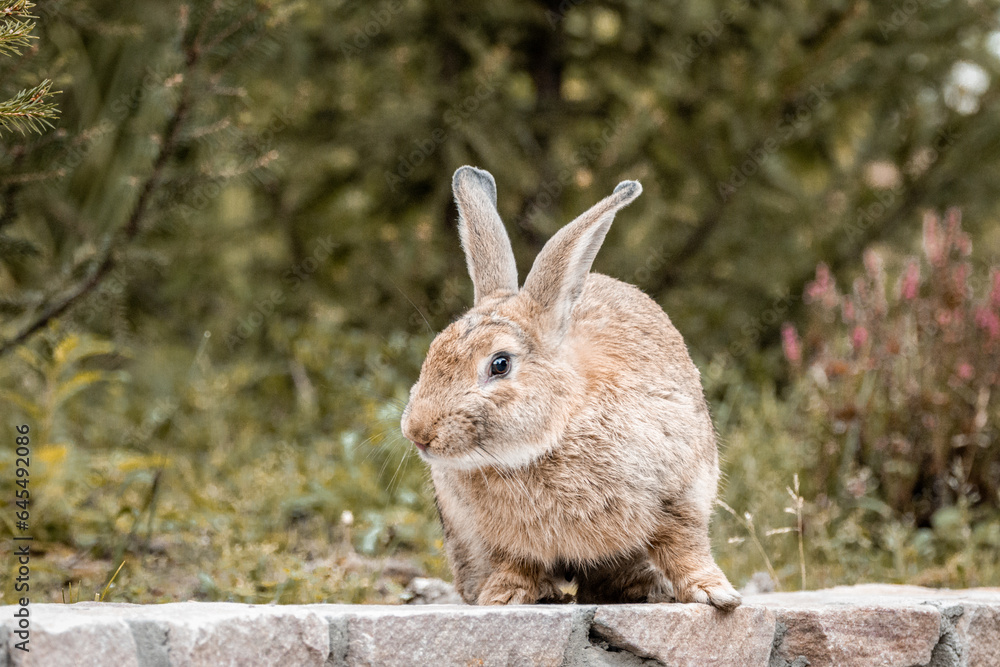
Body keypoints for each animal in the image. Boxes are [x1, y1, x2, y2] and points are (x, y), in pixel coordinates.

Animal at [400, 165, 741, 610]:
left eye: (499, 364)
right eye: (434, 350)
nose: (418, 433)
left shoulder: (680, 495)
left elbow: (685, 546)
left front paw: (715, 594)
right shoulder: (499, 538)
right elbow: (516, 563)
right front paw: (502, 597)